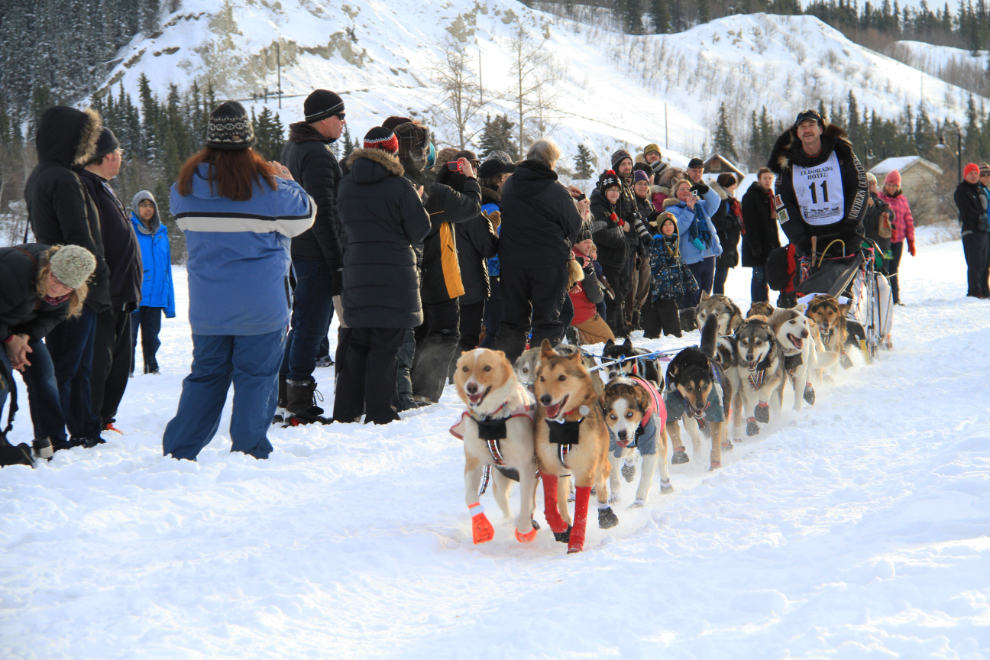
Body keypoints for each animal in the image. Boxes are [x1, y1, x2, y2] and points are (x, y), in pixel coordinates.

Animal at [452, 348, 544, 544]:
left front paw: (524, 530)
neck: (491, 419)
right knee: (505, 505)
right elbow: (470, 496)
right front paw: (480, 526)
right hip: (499, 484)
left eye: (487, 368)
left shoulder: (527, 466)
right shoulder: (473, 463)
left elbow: (525, 503)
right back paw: (507, 522)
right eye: (465, 368)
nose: (471, 387)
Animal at [536, 340, 612, 552]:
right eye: (542, 378)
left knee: (601, 483)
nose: (545, 398)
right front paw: (562, 530)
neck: (564, 425)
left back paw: (606, 513)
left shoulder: (586, 470)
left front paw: (576, 543)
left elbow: (582, 511)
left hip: (599, 462)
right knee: (562, 499)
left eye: (562, 377)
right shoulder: (548, 467)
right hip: (563, 475)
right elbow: (551, 506)